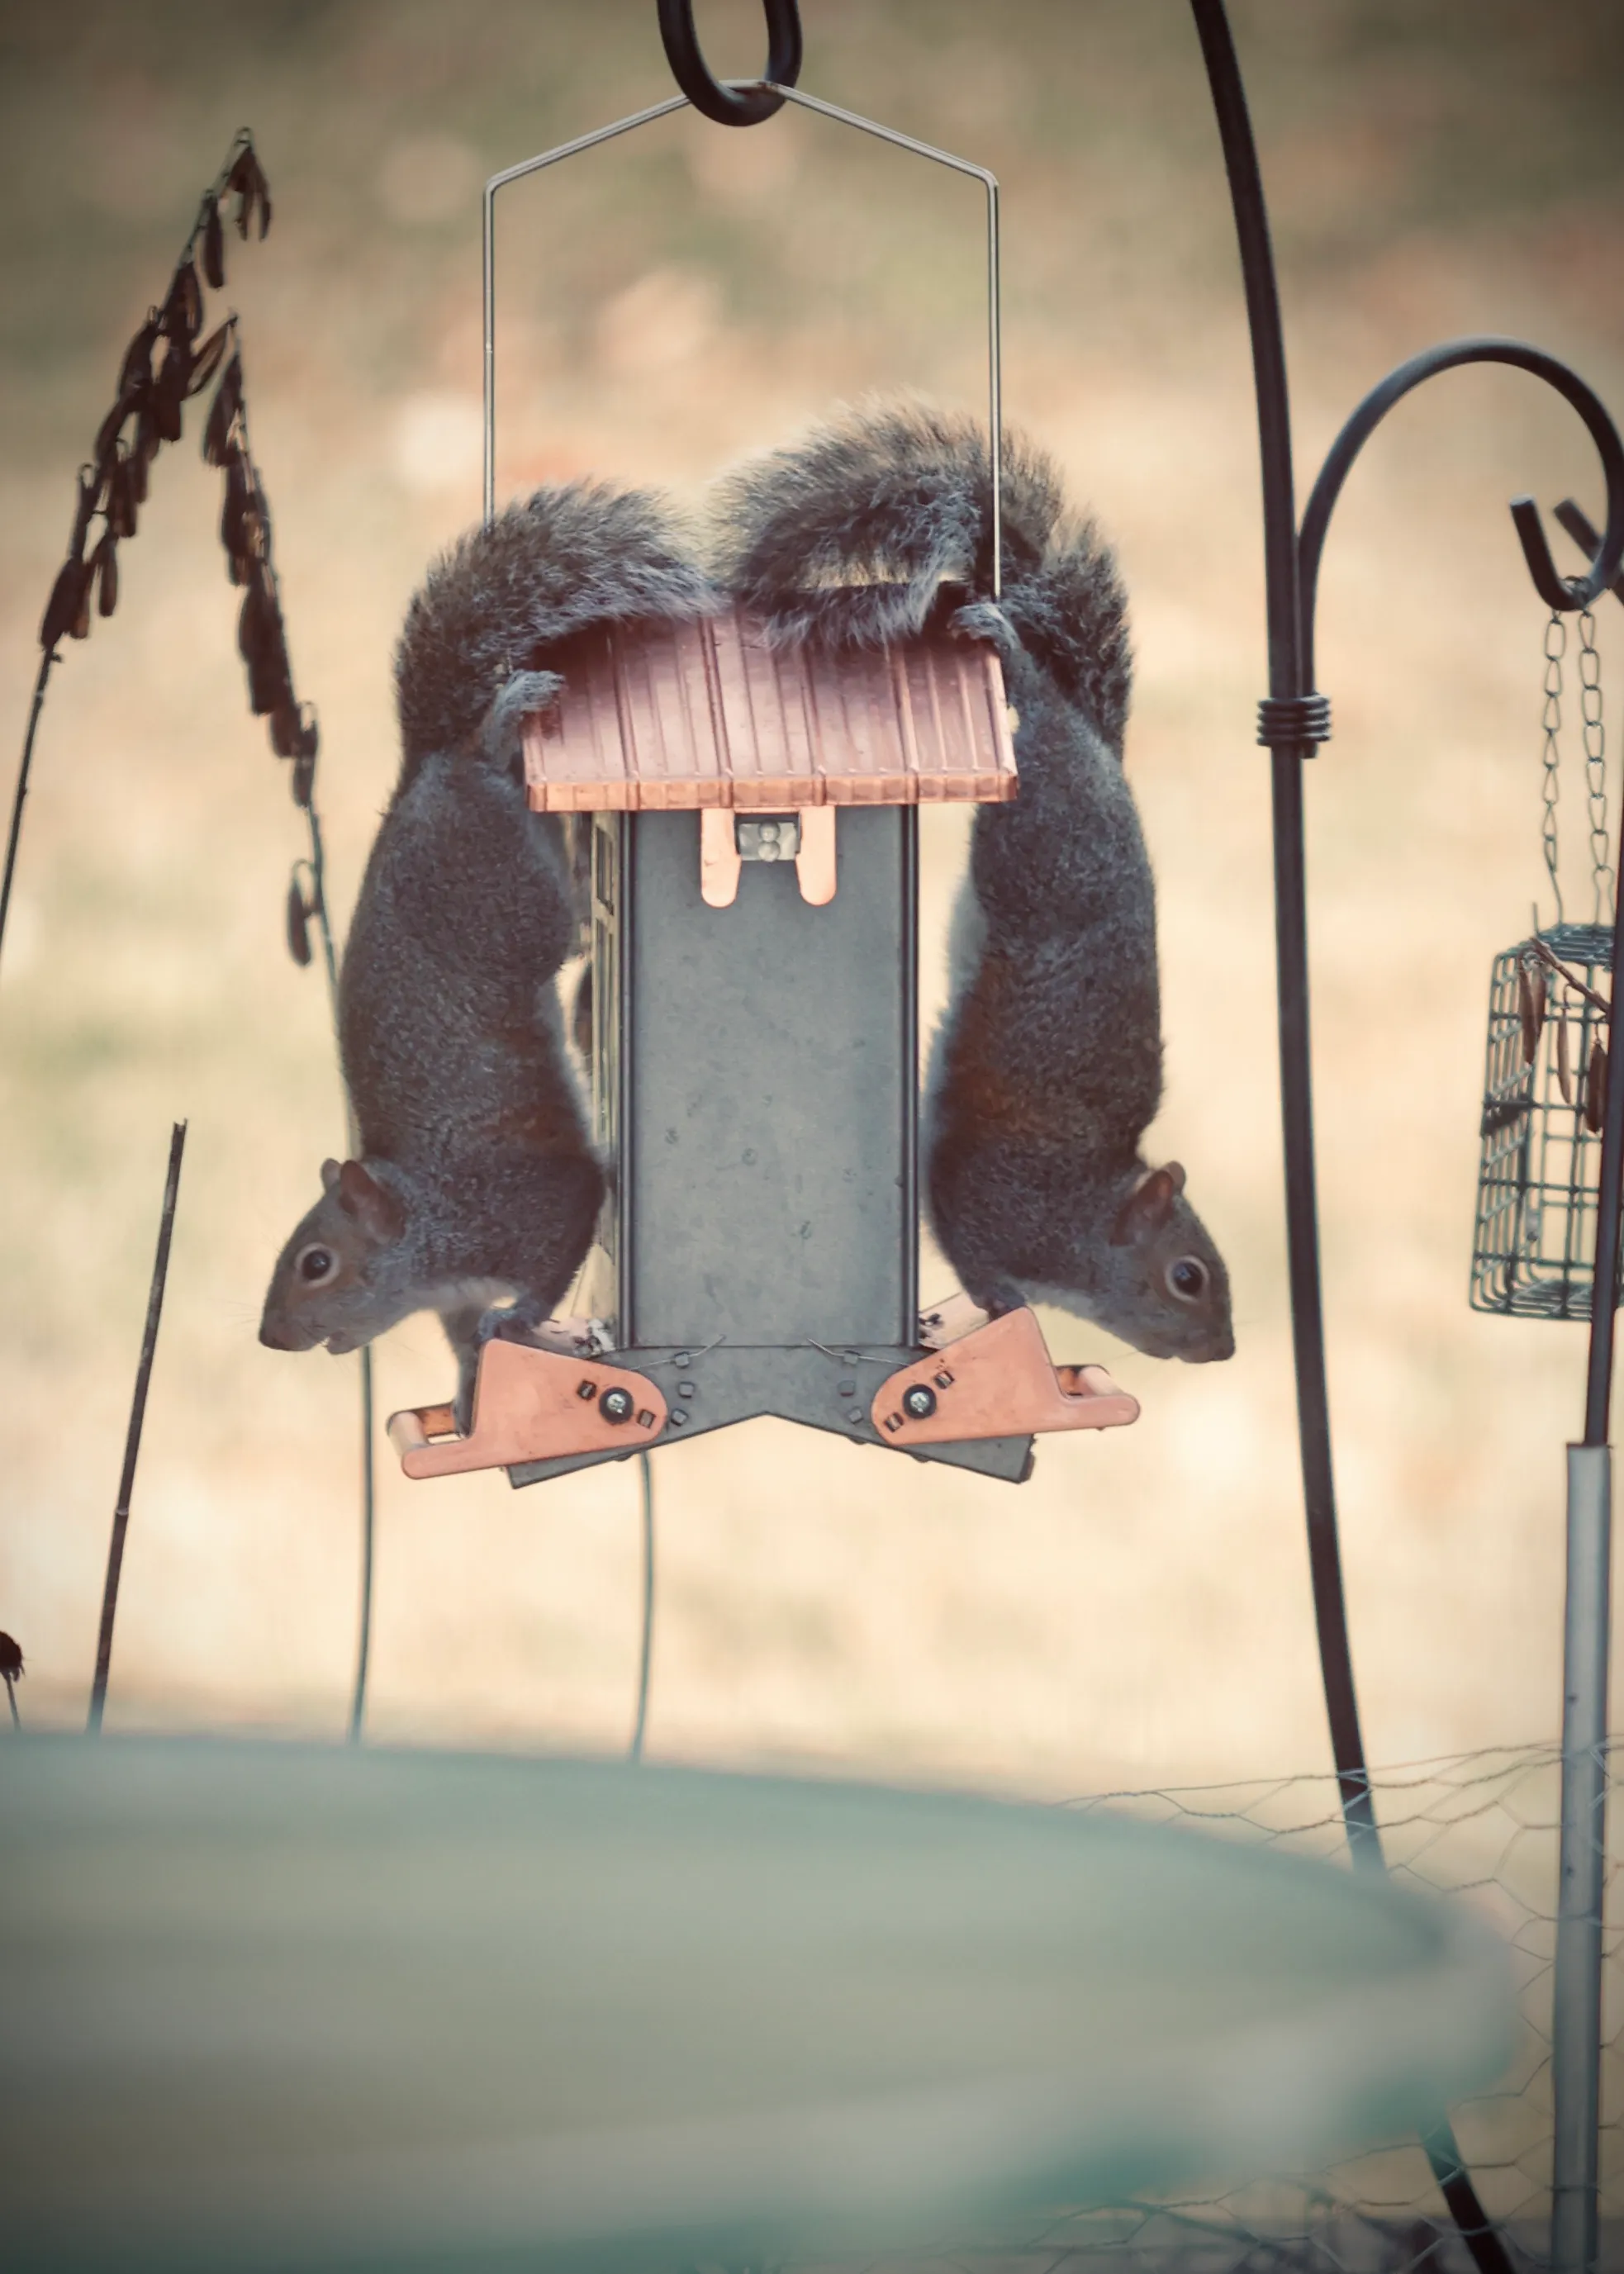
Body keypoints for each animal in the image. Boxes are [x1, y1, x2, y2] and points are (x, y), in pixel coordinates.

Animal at [259, 483, 715, 1415]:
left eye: (317, 1262)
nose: (268, 1335)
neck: (429, 1225)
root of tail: (424, 771)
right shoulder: (454, 1296)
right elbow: (466, 1347)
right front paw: (473, 1394)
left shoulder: (526, 1206)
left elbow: (561, 1235)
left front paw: (522, 1318)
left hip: (510, 902)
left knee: (562, 908)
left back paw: (504, 730)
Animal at [714, 401, 1234, 1363]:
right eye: (1188, 1276)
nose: (1222, 1349)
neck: (1084, 1217)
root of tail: (1102, 751)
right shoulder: (992, 1205)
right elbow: (972, 1253)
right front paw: (996, 1307)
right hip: (1037, 833)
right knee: (1029, 706)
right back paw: (1006, 648)